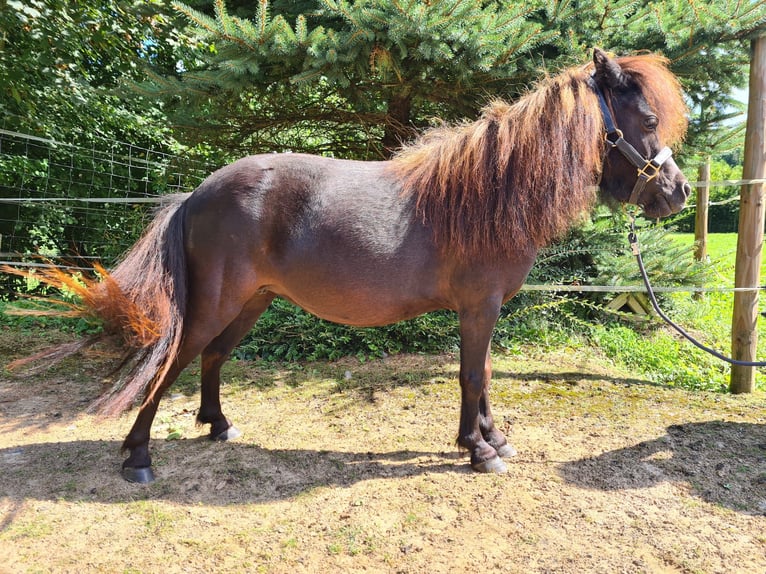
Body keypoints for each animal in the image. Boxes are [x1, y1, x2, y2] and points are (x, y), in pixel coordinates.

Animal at [5, 49, 691, 482]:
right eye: (648, 119)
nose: (679, 192)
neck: (488, 192)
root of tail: (197, 194)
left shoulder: (484, 311)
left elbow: (485, 376)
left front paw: (492, 439)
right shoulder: (479, 307)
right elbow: (473, 376)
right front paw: (478, 451)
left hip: (252, 301)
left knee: (213, 358)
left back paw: (219, 426)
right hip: (216, 302)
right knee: (173, 360)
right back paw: (139, 457)